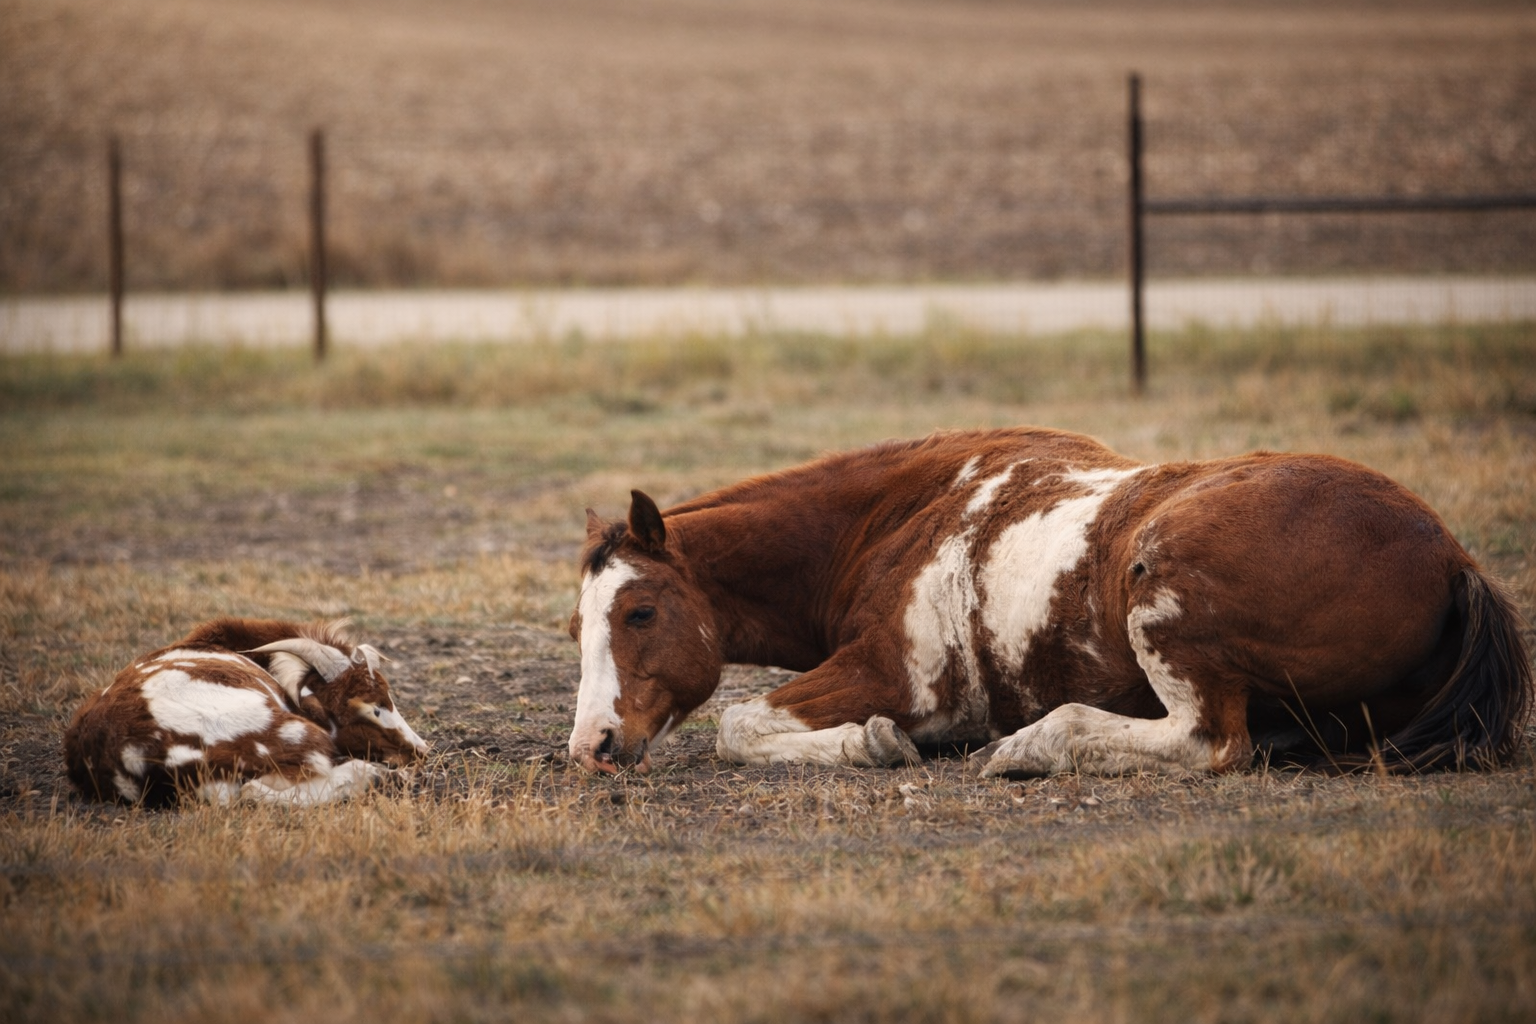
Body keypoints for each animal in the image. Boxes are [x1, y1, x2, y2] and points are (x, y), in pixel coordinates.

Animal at [565, 426, 1530, 777]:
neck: (889, 519)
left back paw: (1032, 745)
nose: (592, 747)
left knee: (1209, 742)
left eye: (639, 612)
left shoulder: (901, 677)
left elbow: (739, 723)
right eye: (578, 626)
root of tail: (1450, 557)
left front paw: (873, 743)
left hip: (1165, 590)